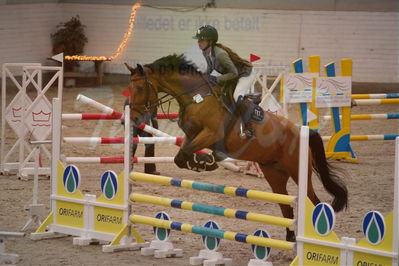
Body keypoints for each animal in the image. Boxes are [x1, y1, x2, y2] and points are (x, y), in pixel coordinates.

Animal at [126, 54, 348, 241]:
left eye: (140, 88)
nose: (135, 118)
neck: (197, 96)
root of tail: (300, 131)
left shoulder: (210, 134)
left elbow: (185, 154)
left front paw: (207, 163)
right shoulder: (192, 135)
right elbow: (181, 156)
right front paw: (204, 162)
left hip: (298, 171)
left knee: (313, 201)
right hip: (274, 173)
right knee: (286, 207)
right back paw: (291, 239)